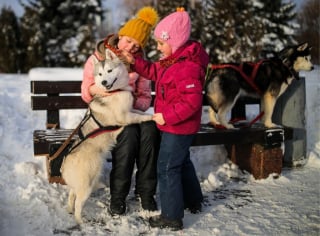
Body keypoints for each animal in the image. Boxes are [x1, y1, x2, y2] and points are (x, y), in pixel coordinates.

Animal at [60, 48, 152, 224]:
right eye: (100, 74)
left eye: (109, 71)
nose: (103, 83)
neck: (114, 91)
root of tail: (65, 165)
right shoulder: (125, 117)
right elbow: (140, 118)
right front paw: (154, 117)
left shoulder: (130, 110)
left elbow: (140, 111)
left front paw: (153, 112)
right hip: (87, 185)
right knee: (78, 204)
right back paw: (81, 222)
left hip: (80, 184)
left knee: (71, 195)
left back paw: (69, 209)